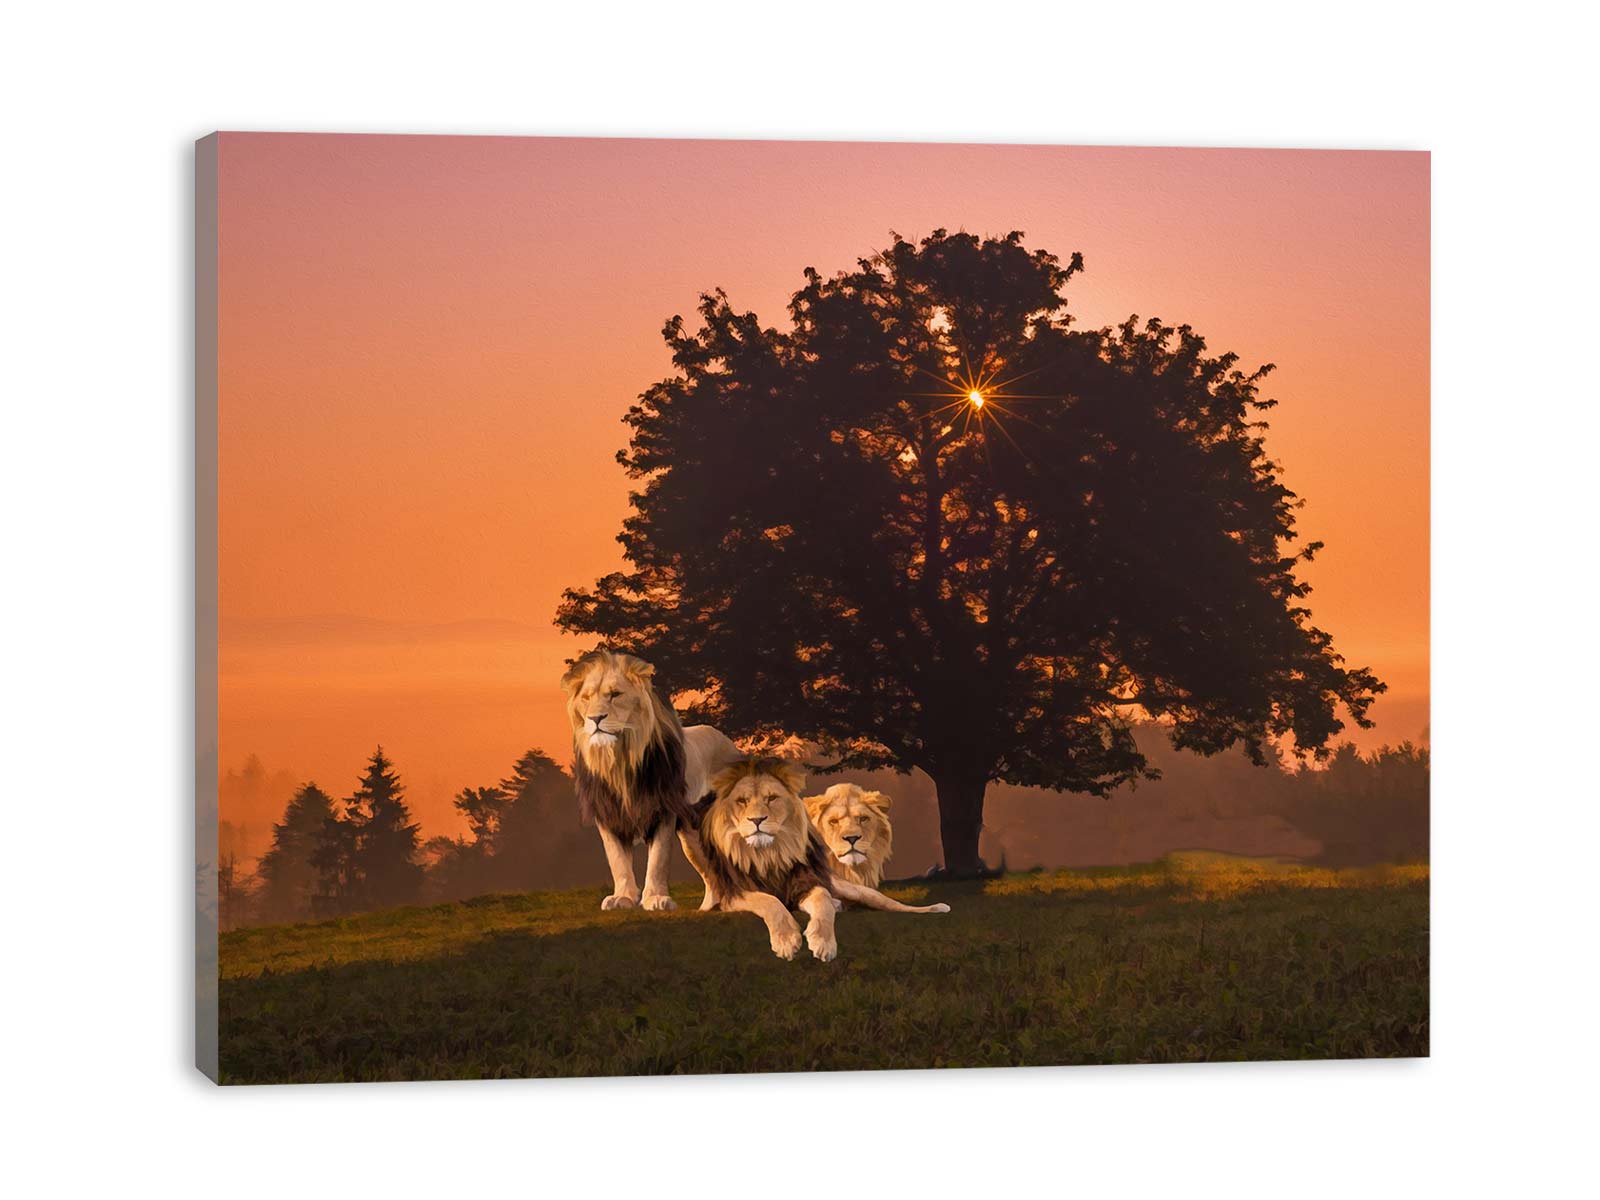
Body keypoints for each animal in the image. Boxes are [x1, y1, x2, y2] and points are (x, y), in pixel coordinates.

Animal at [562, 649, 740, 912]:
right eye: (586, 697)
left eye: (615, 694)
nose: (595, 718)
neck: (620, 761)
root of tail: (728, 741)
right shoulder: (608, 814)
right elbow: (617, 859)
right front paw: (623, 897)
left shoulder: (663, 810)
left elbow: (658, 859)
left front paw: (656, 899)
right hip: (692, 837)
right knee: (711, 873)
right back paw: (710, 907)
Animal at [697, 757, 949, 961]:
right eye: (742, 801)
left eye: (771, 798)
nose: (757, 819)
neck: (768, 853)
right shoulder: (733, 895)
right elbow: (770, 901)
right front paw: (786, 940)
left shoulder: (808, 885)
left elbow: (823, 902)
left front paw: (823, 942)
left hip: (860, 892)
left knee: (895, 905)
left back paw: (937, 907)